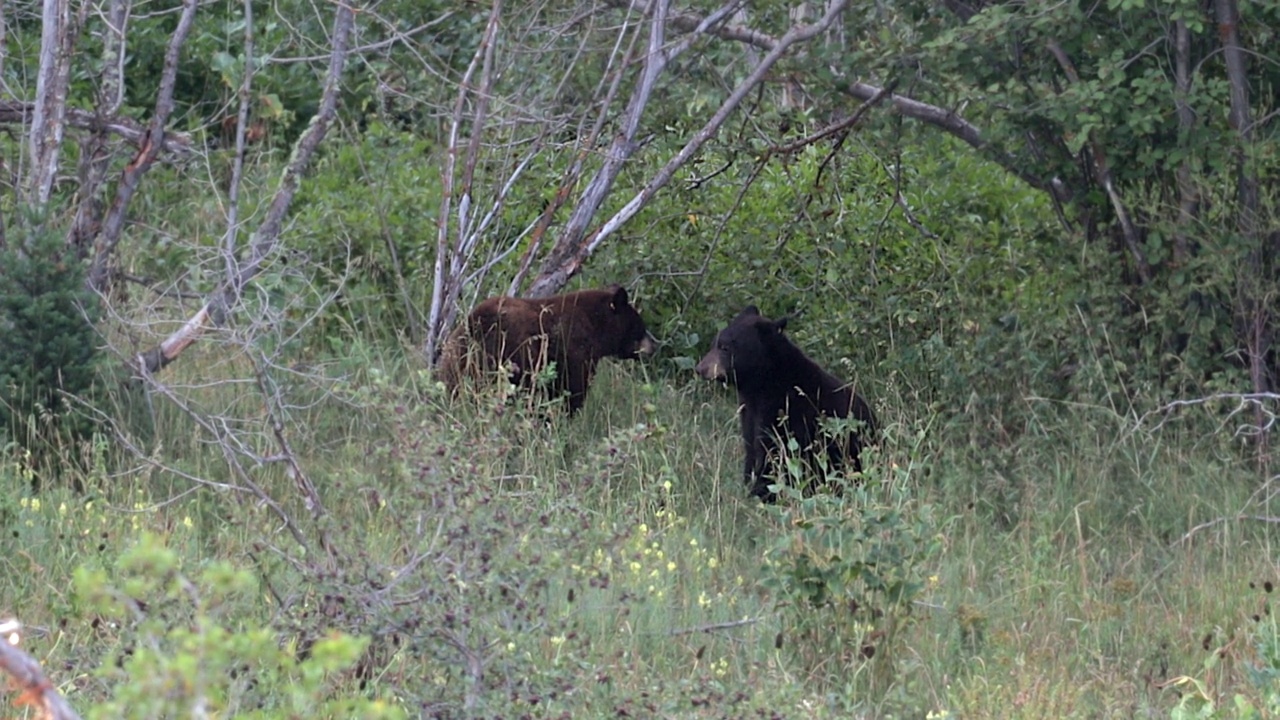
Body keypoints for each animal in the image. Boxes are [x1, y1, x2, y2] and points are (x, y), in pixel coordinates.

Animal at [442, 283, 660, 412]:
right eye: (640, 326)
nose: (653, 346)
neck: (595, 326)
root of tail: (474, 326)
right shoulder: (575, 355)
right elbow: (572, 392)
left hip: (455, 365)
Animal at [696, 302, 875, 499]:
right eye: (714, 343)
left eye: (725, 347)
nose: (700, 369)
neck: (762, 385)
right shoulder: (749, 411)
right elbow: (751, 447)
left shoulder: (785, 409)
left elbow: (773, 449)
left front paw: (762, 491)